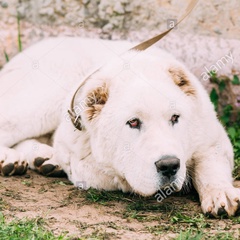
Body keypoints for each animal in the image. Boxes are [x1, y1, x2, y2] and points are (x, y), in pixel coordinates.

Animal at [0, 38, 239, 218]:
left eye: (175, 118)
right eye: (133, 122)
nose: (170, 166)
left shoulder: (213, 137)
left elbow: (210, 165)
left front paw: (221, 194)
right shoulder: (83, 161)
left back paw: (43, 158)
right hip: (43, 101)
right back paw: (11, 159)